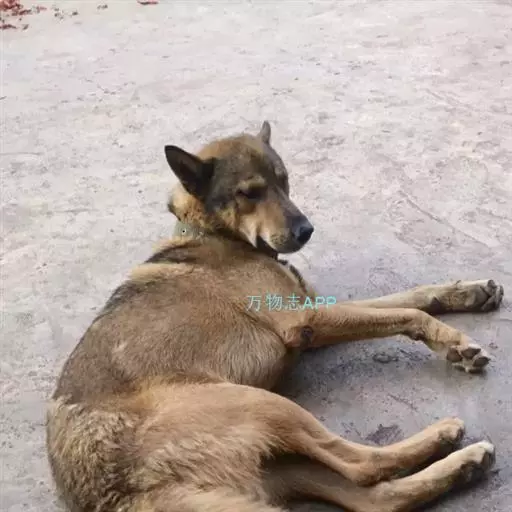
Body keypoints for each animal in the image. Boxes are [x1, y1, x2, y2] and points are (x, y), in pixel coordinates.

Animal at [46, 121, 504, 512]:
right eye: (250, 193)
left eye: (285, 181)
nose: (306, 231)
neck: (215, 234)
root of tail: (123, 498)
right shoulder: (306, 321)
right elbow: (407, 312)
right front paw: (454, 342)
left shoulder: (313, 306)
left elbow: (412, 296)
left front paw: (470, 292)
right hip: (259, 404)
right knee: (361, 465)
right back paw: (446, 436)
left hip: (279, 461)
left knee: (377, 498)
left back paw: (464, 465)